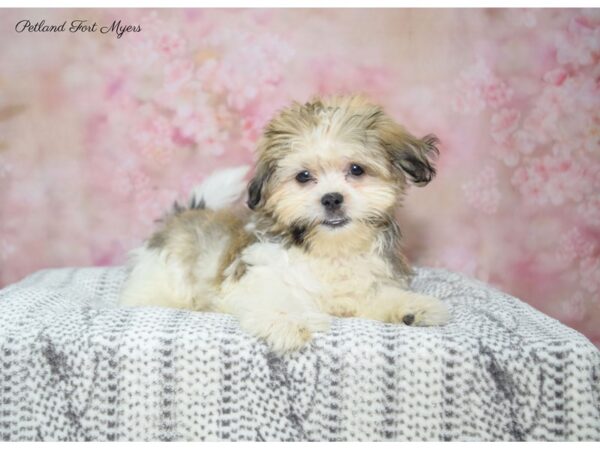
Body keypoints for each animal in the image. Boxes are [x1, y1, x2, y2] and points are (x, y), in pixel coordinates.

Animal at [120, 96, 450, 354]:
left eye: (356, 169)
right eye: (303, 176)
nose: (332, 198)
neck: (329, 248)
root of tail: (186, 214)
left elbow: (375, 295)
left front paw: (412, 307)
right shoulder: (255, 276)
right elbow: (272, 297)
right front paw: (291, 320)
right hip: (160, 275)